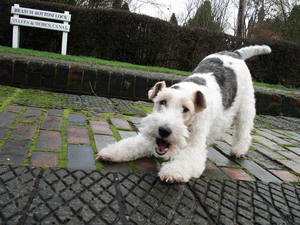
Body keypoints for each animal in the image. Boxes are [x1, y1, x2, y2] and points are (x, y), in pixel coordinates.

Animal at [96, 45, 272, 183]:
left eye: (186, 109)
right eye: (162, 102)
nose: (164, 130)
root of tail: (235, 53)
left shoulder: (194, 148)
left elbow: (186, 160)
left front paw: (172, 172)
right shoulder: (151, 139)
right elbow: (132, 145)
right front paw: (110, 153)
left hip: (246, 107)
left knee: (243, 131)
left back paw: (238, 151)